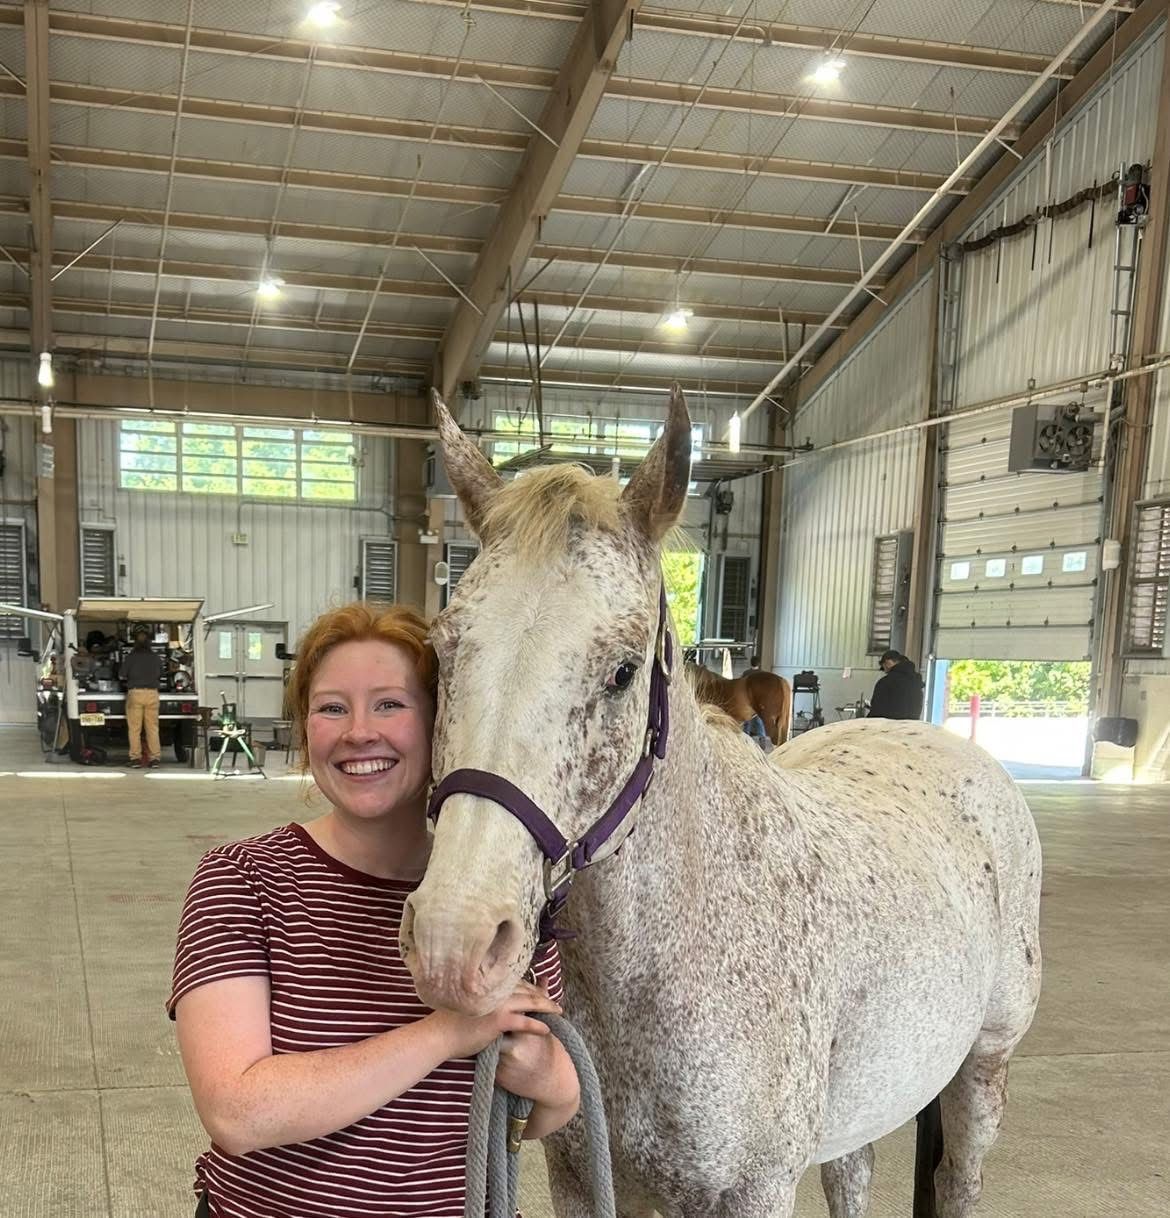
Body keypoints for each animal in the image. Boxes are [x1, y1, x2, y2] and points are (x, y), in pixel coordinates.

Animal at [401, 387, 1042, 1218]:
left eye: (623, 670)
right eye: (443, 650)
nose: (454, 943)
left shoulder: (753, 1192)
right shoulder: (584, 1176)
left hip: (983, 1069)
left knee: (959, 1180)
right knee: (852, 1174)